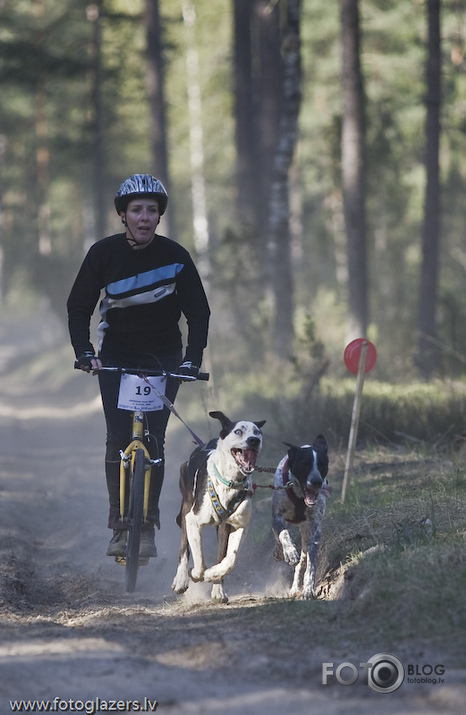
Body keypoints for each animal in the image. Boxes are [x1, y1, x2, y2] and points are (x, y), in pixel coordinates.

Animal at [172, 412, 266, 600]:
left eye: (257, 432)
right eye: (238, 431)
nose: (253, 440)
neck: (231, 482)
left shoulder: (238, 525)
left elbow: (229, 559)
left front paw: (213, 575)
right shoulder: (193, 520)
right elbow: (199, 561)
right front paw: (195, 574)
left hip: (222, 527)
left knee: (221, 553)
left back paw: (217, 589)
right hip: (186, 506)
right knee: (184, 547)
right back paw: (181, 579)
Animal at [272, 436, 334, 600]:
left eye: (322, 464)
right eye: (305, 464)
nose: (317, 481)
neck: (300, 495)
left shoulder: (314, 531)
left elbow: (310, 567)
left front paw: (308, 589)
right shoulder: (277, 516)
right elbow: (283, 534)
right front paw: (290, 552)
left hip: (306, 536)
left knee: (301, 563)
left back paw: (295, 587)